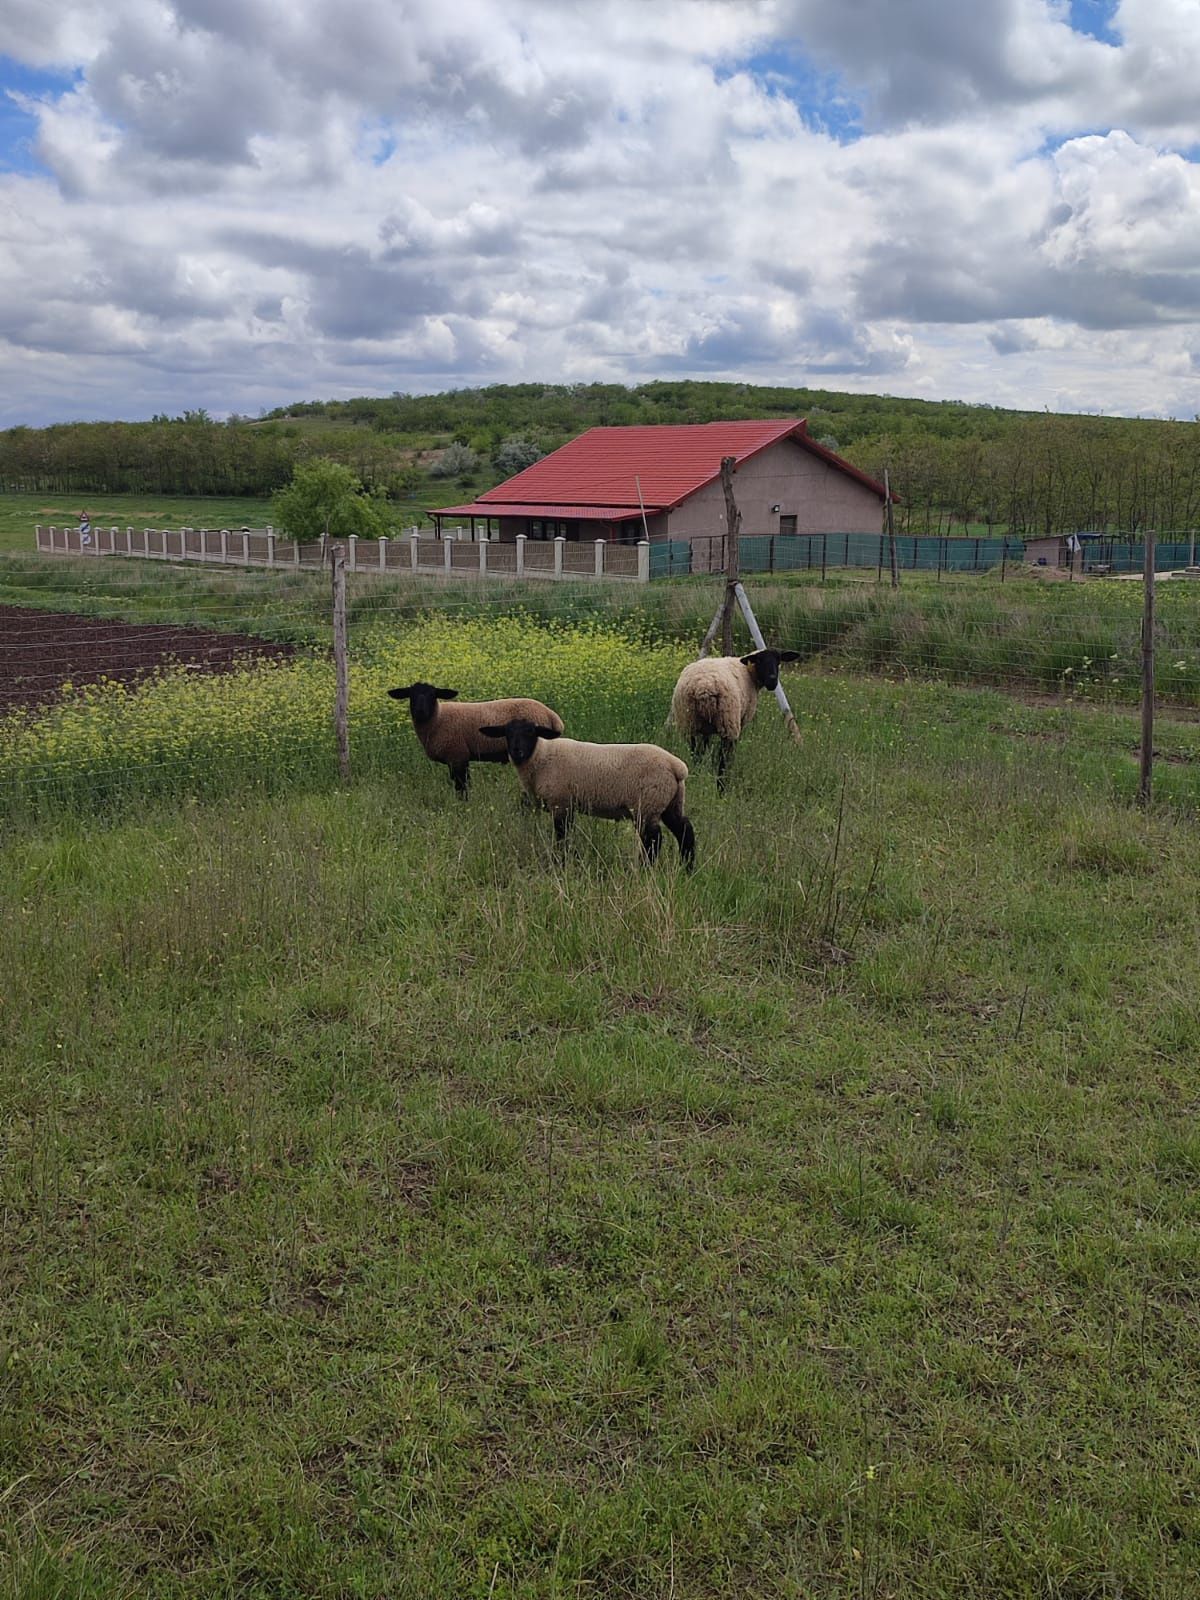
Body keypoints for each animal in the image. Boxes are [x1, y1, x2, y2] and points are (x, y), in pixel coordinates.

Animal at [390, 678, 569, 796]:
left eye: (433, 695)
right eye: (411, 695)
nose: (420, 711)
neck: (438, 718)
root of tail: (552, 715)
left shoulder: (457, 756)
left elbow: (461, 787)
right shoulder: (460, 758)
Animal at [483, 720, 700, 870]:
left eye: (531, 732)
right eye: (507, 733)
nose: (516, 751)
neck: (540, 756)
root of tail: (676, 766)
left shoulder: (560, 802)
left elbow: (561, 836)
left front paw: (560, 863)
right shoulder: (568, 805)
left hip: (647, 804)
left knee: (654, 839)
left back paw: (644, 869)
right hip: (670, 802)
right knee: (685, 831)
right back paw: (687, 868)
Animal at [678, 646, 800, 790]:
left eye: (778, 661)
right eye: (760, 661)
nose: (772, 681)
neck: (749, 672)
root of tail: (703, 688)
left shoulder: (705, 731)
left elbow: (703, 750)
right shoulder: (740, 721)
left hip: (690, 723)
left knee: (695, 755)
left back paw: (698, 777)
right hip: (728, 723)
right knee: (723, 759)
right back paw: (722, 786)